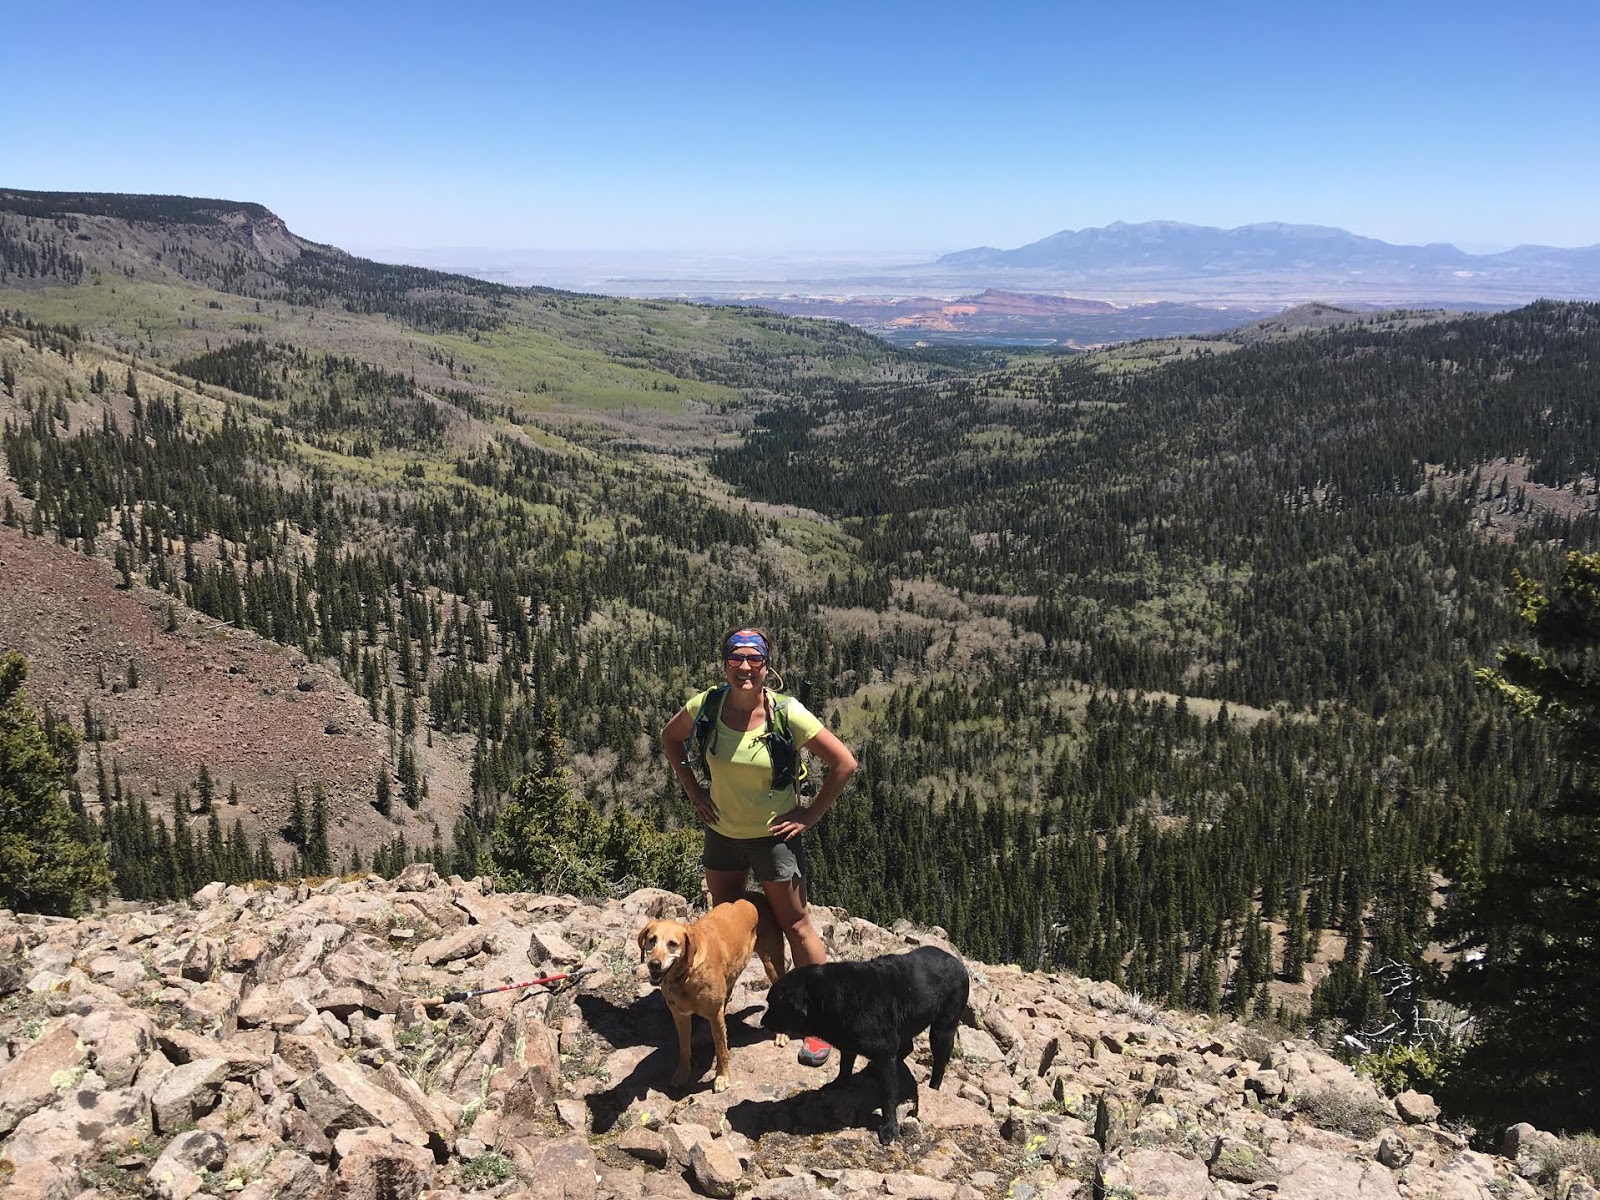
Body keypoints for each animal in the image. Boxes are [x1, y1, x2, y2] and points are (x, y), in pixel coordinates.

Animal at [758, 947, 966, 1145]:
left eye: (774, 1005)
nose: (762, 1022)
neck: (828, 998)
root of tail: (959, 963)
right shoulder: (849, 1044)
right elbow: (844, 1068)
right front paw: (838, 1084)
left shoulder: (885, 1052)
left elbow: (888, 1094)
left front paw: (889, 1127)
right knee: (907, 1047)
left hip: (942, 1030)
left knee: (939, 1062)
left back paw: (933, 1087)